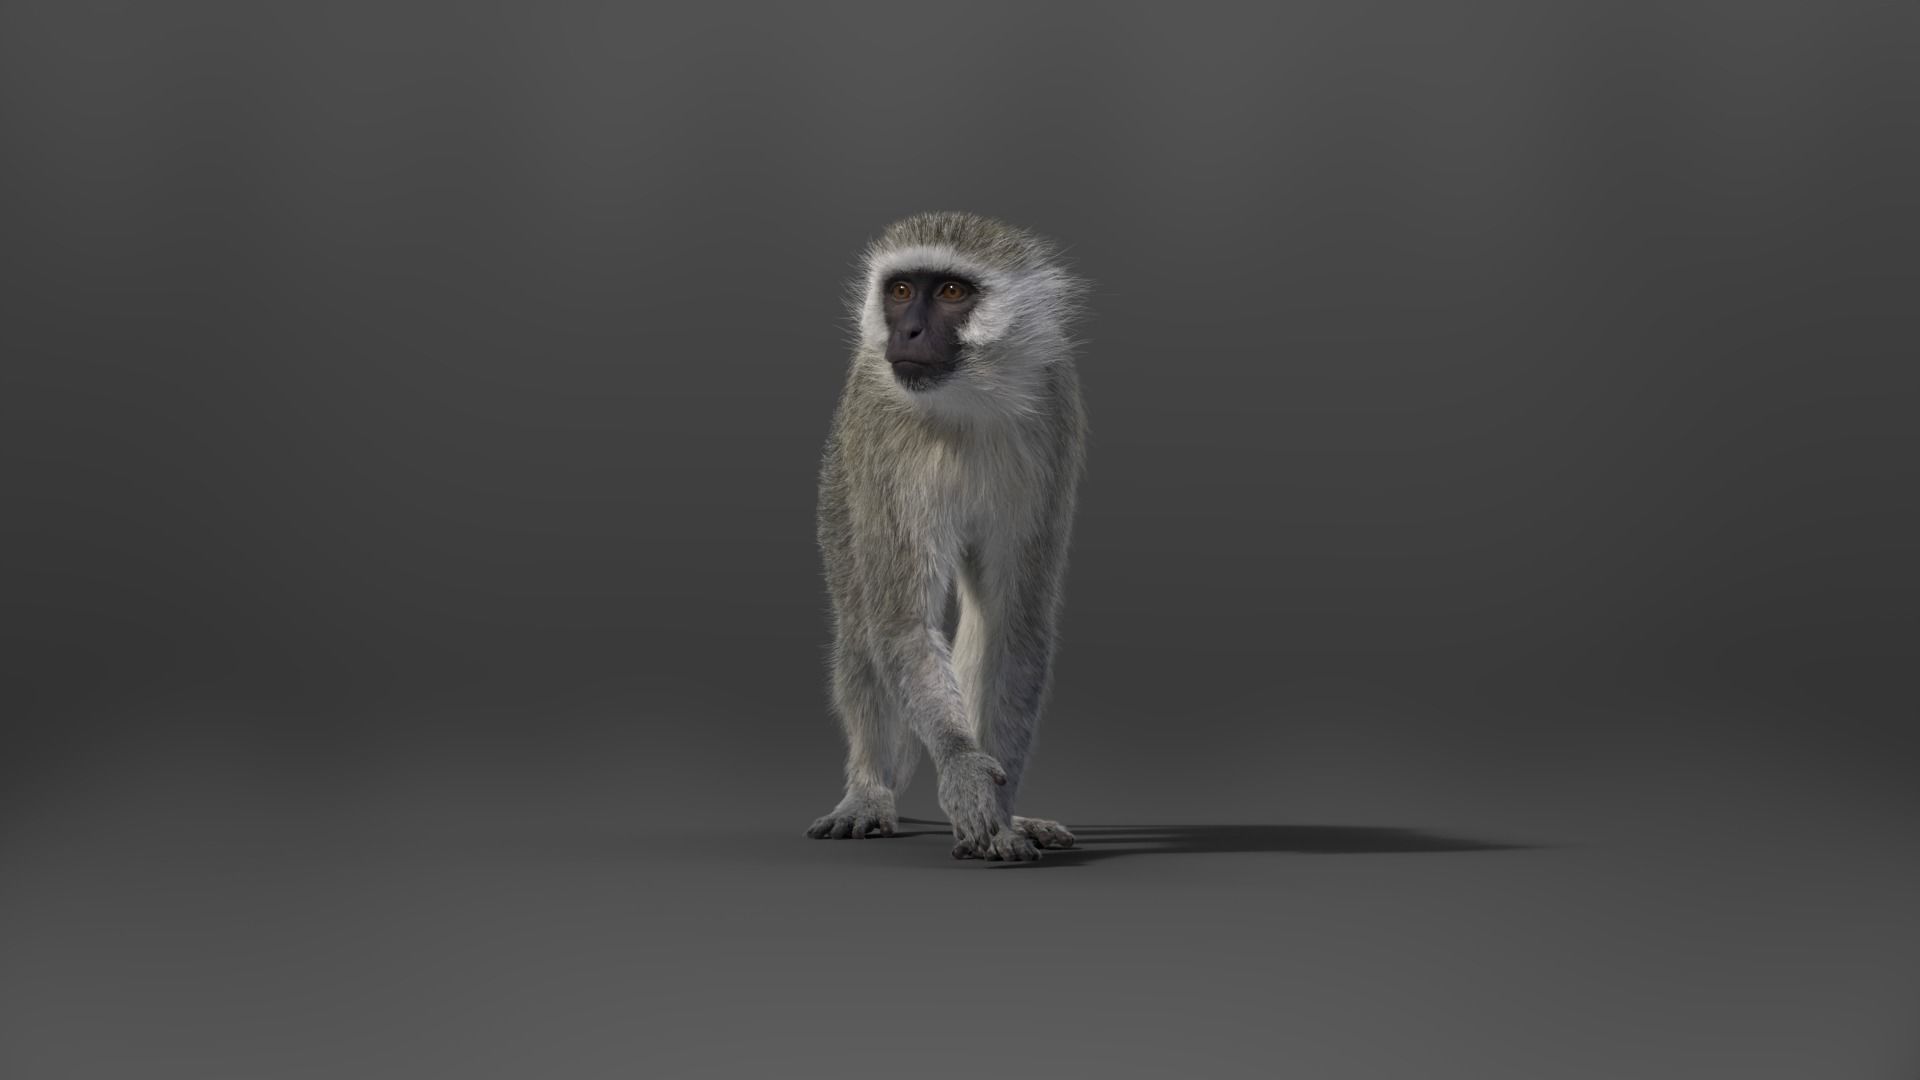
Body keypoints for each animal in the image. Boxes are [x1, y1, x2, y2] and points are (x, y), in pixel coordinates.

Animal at [807, 211, 1088, 862]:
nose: (908, 331)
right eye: (901, 289)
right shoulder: (883, 436)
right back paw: (869, 788)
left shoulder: (1053, 415)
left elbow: (1015, 626)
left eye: (953, 292)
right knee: (860, 628)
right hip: (842, 482)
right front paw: (963, 766)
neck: (969, 401)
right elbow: (902, 624)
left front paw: (1003, 819)